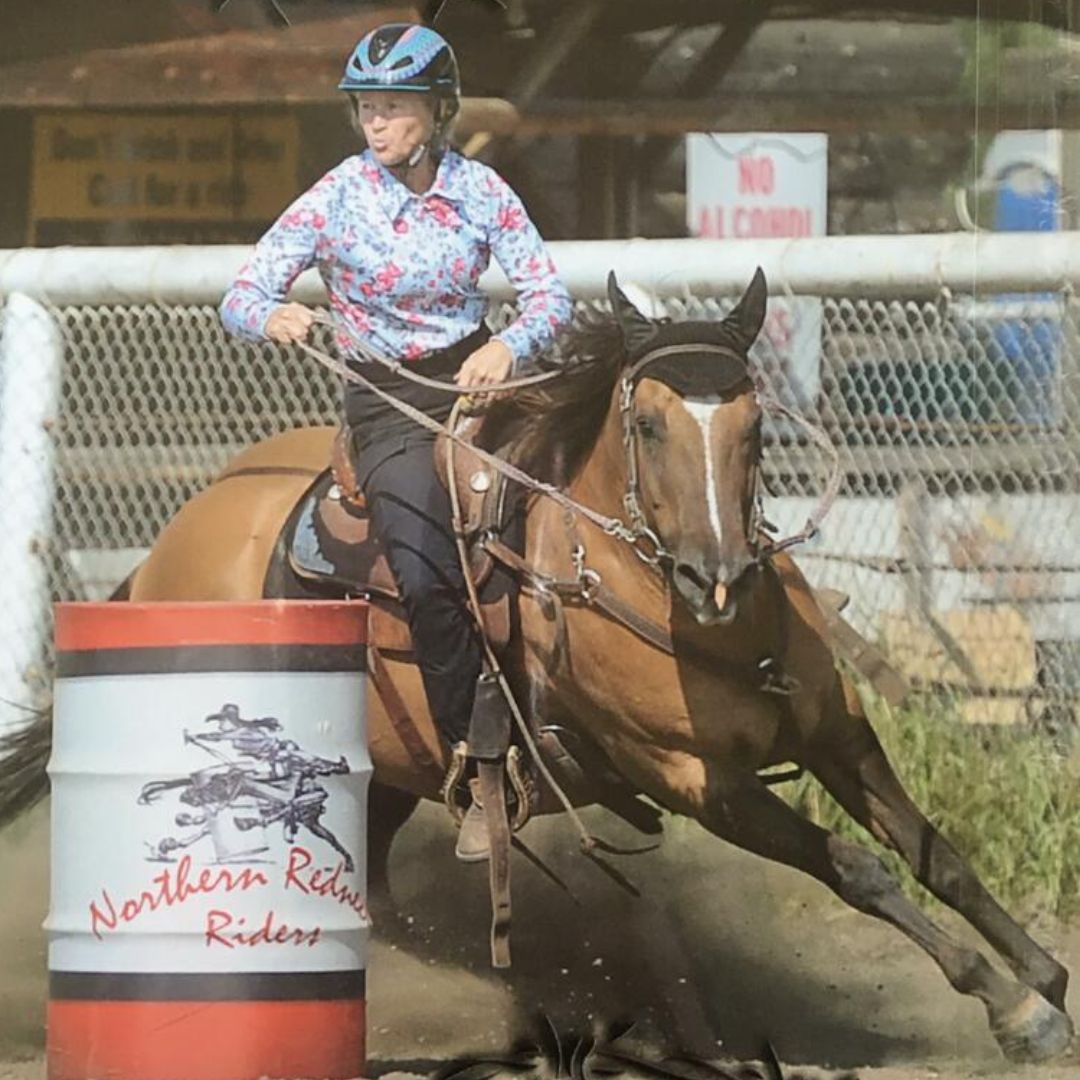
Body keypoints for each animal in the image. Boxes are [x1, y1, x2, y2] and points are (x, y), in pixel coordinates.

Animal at [0, 270, 1071, 1062]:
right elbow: (860, 868)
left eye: (755, 427)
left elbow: (935, 853)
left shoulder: (837, 729)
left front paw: (1045, 977)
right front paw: (1008, 1004)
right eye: (648, 425)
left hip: (390, 776)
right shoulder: (696, 782)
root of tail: (169, 546)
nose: (716, 574)